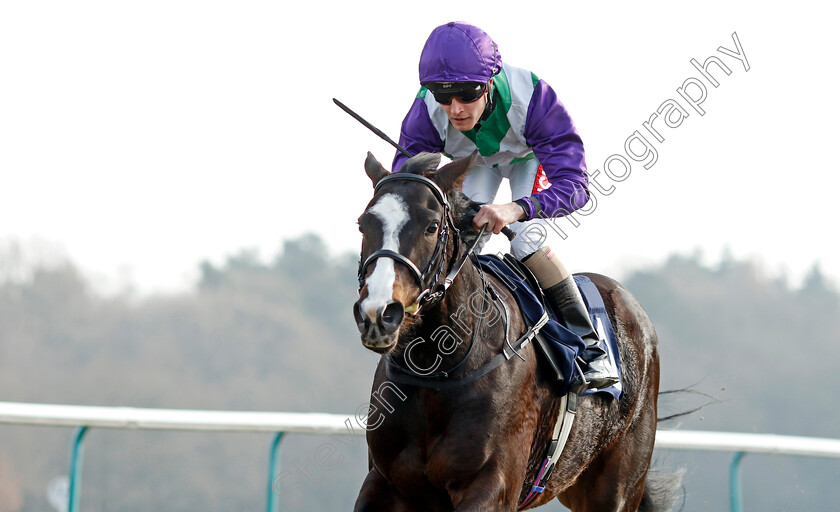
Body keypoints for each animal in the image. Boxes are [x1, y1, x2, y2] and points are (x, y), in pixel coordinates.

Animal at [352, 152, 680, 512]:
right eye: (363, 224)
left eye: (431, 226)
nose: (378, 313)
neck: (437, 368)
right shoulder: (384, 482)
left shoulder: (492, 484)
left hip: (617, 487)